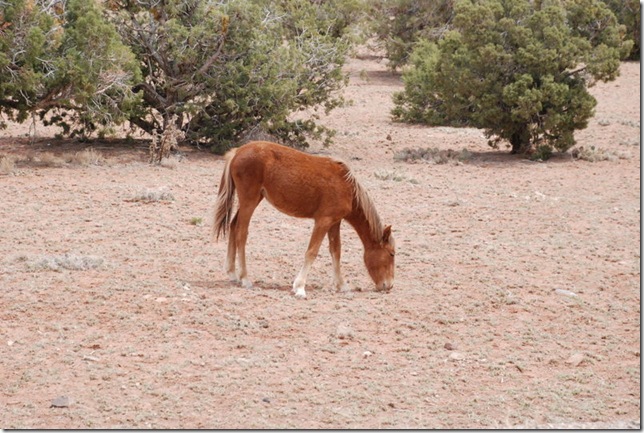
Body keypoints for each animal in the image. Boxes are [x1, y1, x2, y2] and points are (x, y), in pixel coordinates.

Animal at [214, 140, 394, 298]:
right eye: (391, 254)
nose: (389, 285)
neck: (347, 187)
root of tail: (237, 152)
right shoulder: (323, 221)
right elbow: (312, 252)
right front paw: (300, 287)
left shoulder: (335, 222)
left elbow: (336, 251)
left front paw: (341, 285)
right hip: (249, 201)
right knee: (241, 233)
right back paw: (245, 278)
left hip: (254, 199)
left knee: (233, 225)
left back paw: (232, 273)